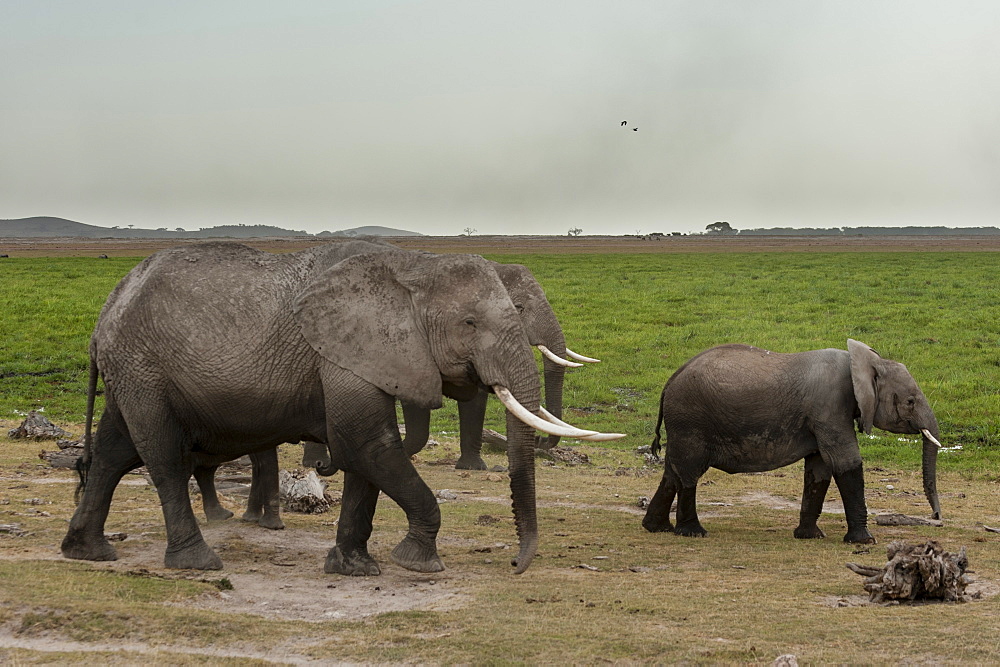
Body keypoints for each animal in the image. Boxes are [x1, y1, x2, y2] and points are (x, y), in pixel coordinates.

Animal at [62, 243, 616, 576]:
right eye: (469, 323)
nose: (516, 566)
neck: (414, 268)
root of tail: (105, 312)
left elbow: (364, 456)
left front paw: (353, 567)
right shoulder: (345, 351)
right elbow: (365, 442)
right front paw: (417, 562)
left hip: (133, 371)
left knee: (114, 451)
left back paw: (88, 551)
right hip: (142, 367)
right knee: (161, 457)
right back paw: (197, 562)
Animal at [644, 340, 940, 544]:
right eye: (910, 401)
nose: (937, 518)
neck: (864, 362)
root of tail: (669, 382)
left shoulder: (824, 415)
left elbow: (819, 468)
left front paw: (810, 536)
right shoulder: (830, 407)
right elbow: (845, 462)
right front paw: (865, 541)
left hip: (683, 424)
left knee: (672, 471)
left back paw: (655, 528)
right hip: (690, 421)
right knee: (689, 472)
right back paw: (692, 533)